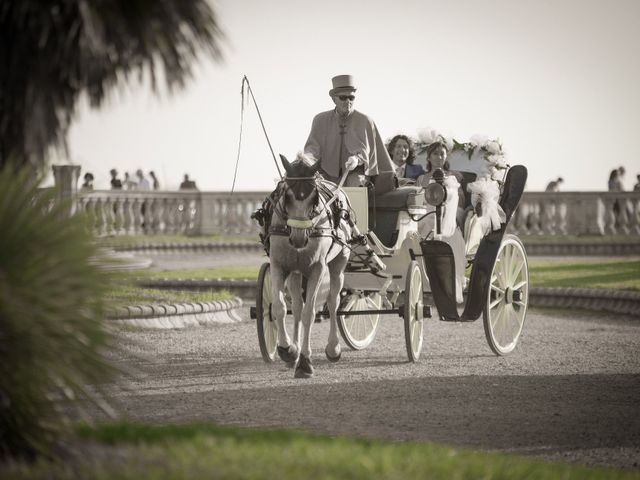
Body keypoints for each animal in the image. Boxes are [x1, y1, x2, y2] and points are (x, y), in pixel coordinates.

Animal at [268, 152, 352, 376]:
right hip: (295, 272)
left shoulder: (318, 269)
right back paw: (294, 352)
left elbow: (310, 313)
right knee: (297, 306)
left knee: (333, 302)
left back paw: (333, 348)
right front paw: (287, 349)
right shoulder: (279, 266)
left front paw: (305, 362)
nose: (299, 239)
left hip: (338, 265)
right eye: (287, 195)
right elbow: (280, 307)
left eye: (314, 197)